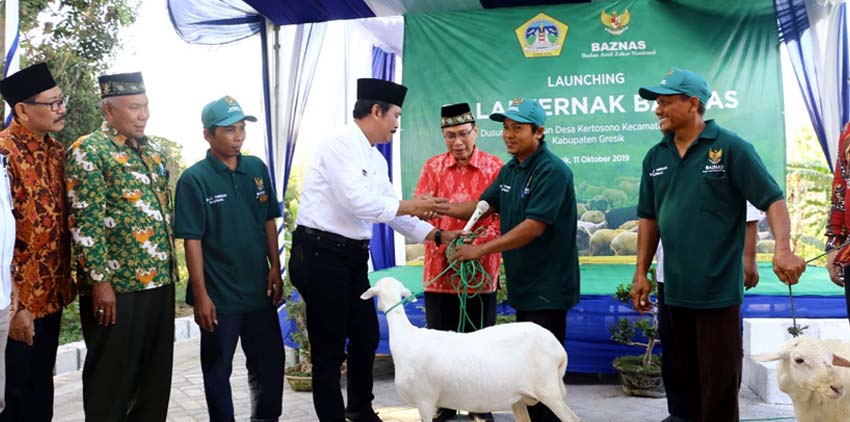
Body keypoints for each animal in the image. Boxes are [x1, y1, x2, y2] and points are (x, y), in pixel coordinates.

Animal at [362, 276, 580, 422]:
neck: (405, 336)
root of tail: (559, 349)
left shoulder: (425, 400)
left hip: (549, 390)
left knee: (572, 419)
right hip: (520, 396)